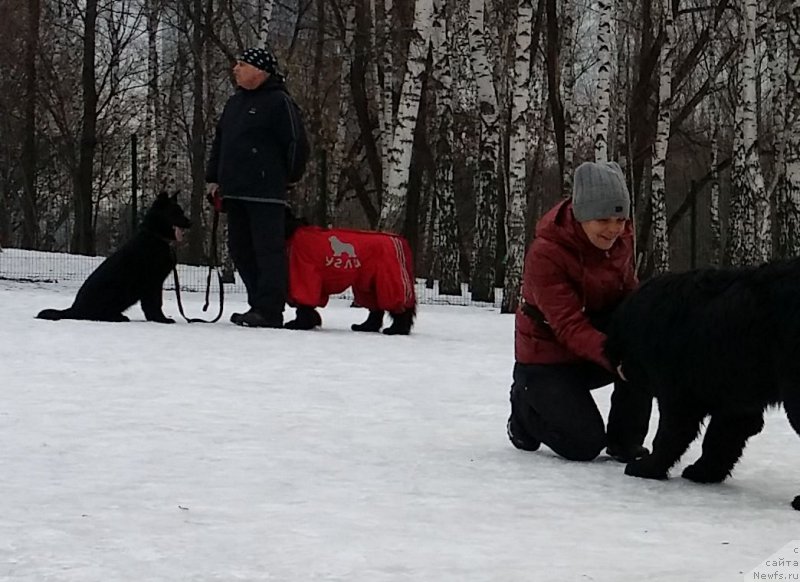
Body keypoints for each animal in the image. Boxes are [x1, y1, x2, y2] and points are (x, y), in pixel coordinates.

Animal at [36, 193, 192, 324]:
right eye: (175, 212)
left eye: (181, 211)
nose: (190, 223)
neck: (155, 236)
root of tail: (74, 309)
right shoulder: (152, 283)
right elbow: (154, 304)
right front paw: (160, 319)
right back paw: (117, 317)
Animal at [282, 213, 418, 334]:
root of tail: (400, 240)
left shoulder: (305, 276)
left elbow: (304, 305)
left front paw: (299, 324)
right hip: (368, 283)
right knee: (376, 309)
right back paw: (366, 327)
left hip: (390, 282)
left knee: (401, 309)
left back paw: (397, 330)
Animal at [604, 260, 800, 512]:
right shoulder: (734, 400)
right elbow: (721, 438)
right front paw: (704, 472)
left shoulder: (677, 394)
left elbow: (670, 435)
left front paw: (647, 467)